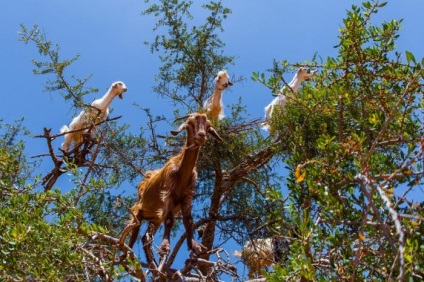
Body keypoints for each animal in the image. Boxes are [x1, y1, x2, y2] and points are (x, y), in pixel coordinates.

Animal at [119, 113, 224, 266]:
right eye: (190, 124)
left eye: (208, 126)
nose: (201, 135)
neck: (181, 172)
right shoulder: (167, 194)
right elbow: (169, 221)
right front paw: (165, 247)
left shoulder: (187, 197)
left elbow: (188, 220)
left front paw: (194, 246)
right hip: (137, 210)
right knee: (133, 231)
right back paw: (126, 255)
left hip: (155, 217)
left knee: (145, 236)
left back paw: (152, 262)